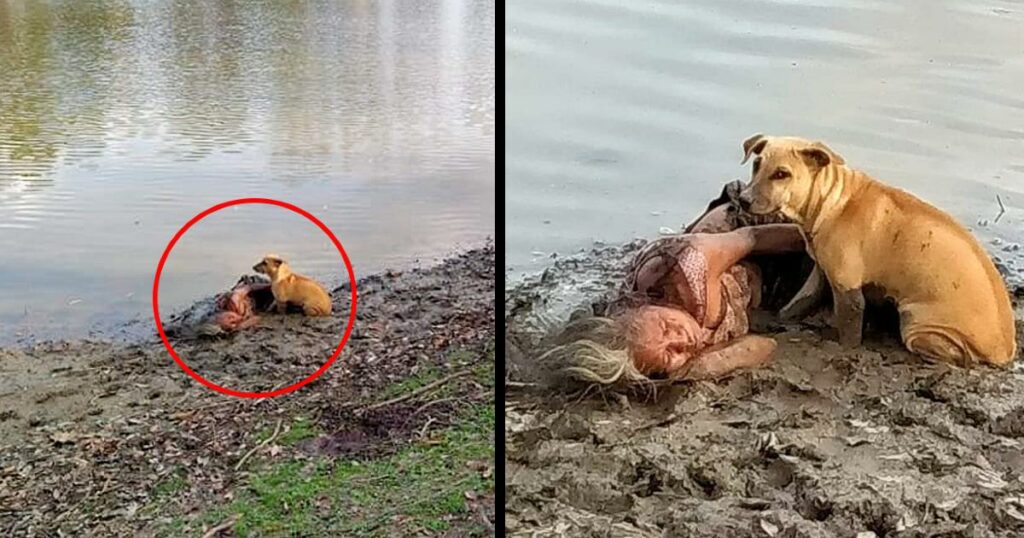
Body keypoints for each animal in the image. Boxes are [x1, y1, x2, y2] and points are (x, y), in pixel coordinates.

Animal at [737, 133, 1015, 364]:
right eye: (756, 165)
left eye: (782, 174)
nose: (743, 200)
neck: (832, 201)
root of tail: (1005, 351)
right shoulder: (821, 273)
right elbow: (797, 304)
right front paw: (777, 319)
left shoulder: (848, 291)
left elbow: (849, 334)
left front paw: (843, 349)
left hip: (918, 325)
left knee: (957, 355)